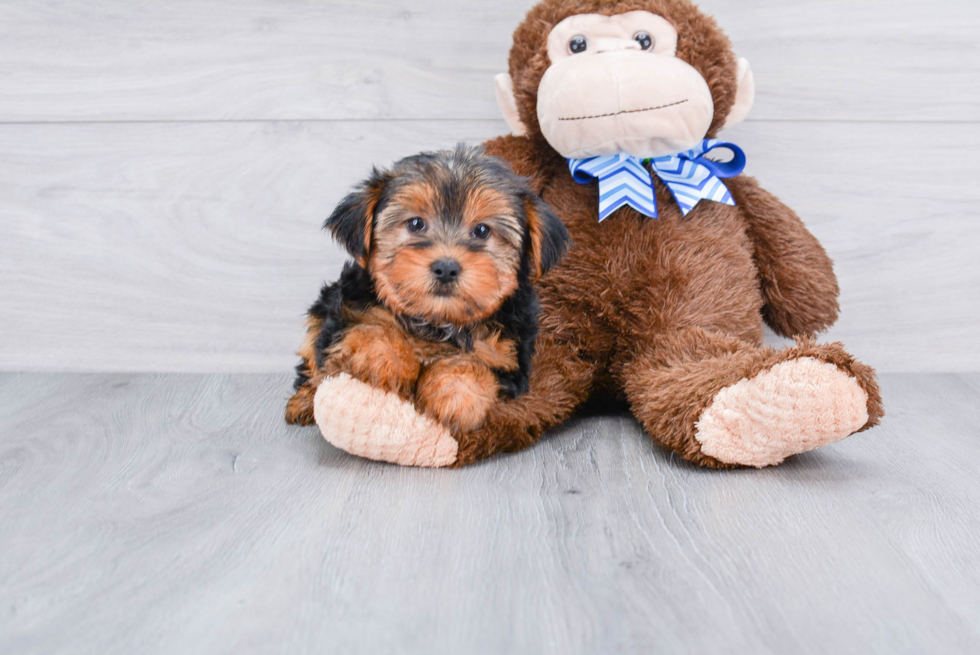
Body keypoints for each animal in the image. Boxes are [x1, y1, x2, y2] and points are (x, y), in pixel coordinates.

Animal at [286, 145, 568, 434]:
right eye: (415, 224)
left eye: (482, 230)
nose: (446, 268)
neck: (436, 322)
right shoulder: (348, 310)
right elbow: (369, 330)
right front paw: (383, 360)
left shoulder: (508, 357)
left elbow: (476, 368)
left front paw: (455, 395)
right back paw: (304, 401)